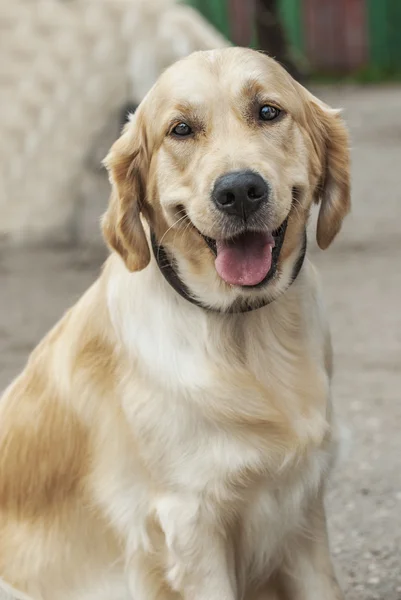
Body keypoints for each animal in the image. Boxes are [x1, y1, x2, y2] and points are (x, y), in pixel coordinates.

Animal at [0, 48, 348, 600]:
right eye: (180, 129)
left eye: (268, 111)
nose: (240, 190)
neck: (243, 330)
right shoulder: (190, 521)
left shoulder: (303, 508)